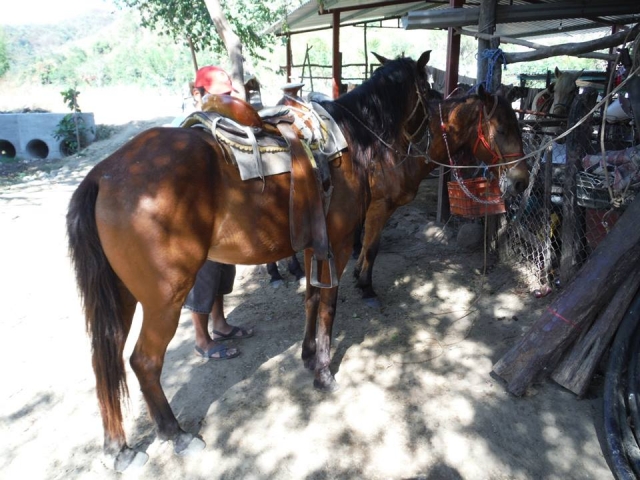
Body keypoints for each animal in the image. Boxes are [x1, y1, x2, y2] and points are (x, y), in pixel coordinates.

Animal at [66, 50, 527, 471]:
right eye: (505, 125)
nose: (522, 178)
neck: (355, 143)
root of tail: (102, 175)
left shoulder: (311, 244)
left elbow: (310, 298)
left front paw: (307, 355)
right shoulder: (339, 242)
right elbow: (331, 301)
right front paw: (324, 369)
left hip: (122, 297)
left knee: (104, 360)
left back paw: (118, 450)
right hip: (164, 296)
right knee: (144, 362)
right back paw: (175, 435)